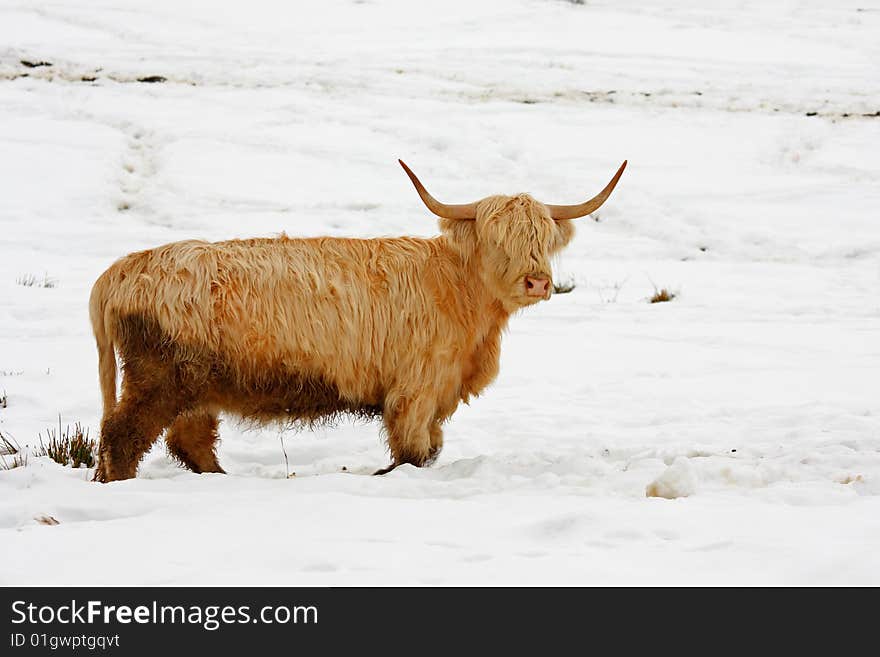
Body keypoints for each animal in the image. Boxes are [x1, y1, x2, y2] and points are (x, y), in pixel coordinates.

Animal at [91, 156, 624, 480]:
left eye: (544, 239)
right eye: (498, 239)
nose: (537, 282)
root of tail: (121, 269)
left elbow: (430, 448)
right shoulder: (415, 388)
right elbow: (414, 451)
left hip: (199, 385)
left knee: (190, 440)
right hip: (159, 377)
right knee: (124, 436)